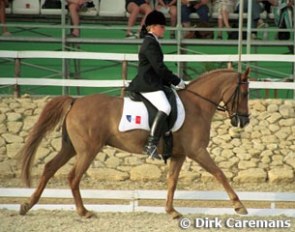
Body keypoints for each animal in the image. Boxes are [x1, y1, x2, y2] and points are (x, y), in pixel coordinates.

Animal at [18, 67, 251, 219]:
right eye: (245, 93)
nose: (244, 121)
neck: (197, 105)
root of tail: (75, 101)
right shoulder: (198, 151)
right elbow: (220, 173)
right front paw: (239, 206)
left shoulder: (179, 154)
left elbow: (172, 181)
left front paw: (171, 211)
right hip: (88, 150)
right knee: (73, 177)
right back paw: (84, 212)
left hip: (71, 148)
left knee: (49, 168)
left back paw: (27, 205)